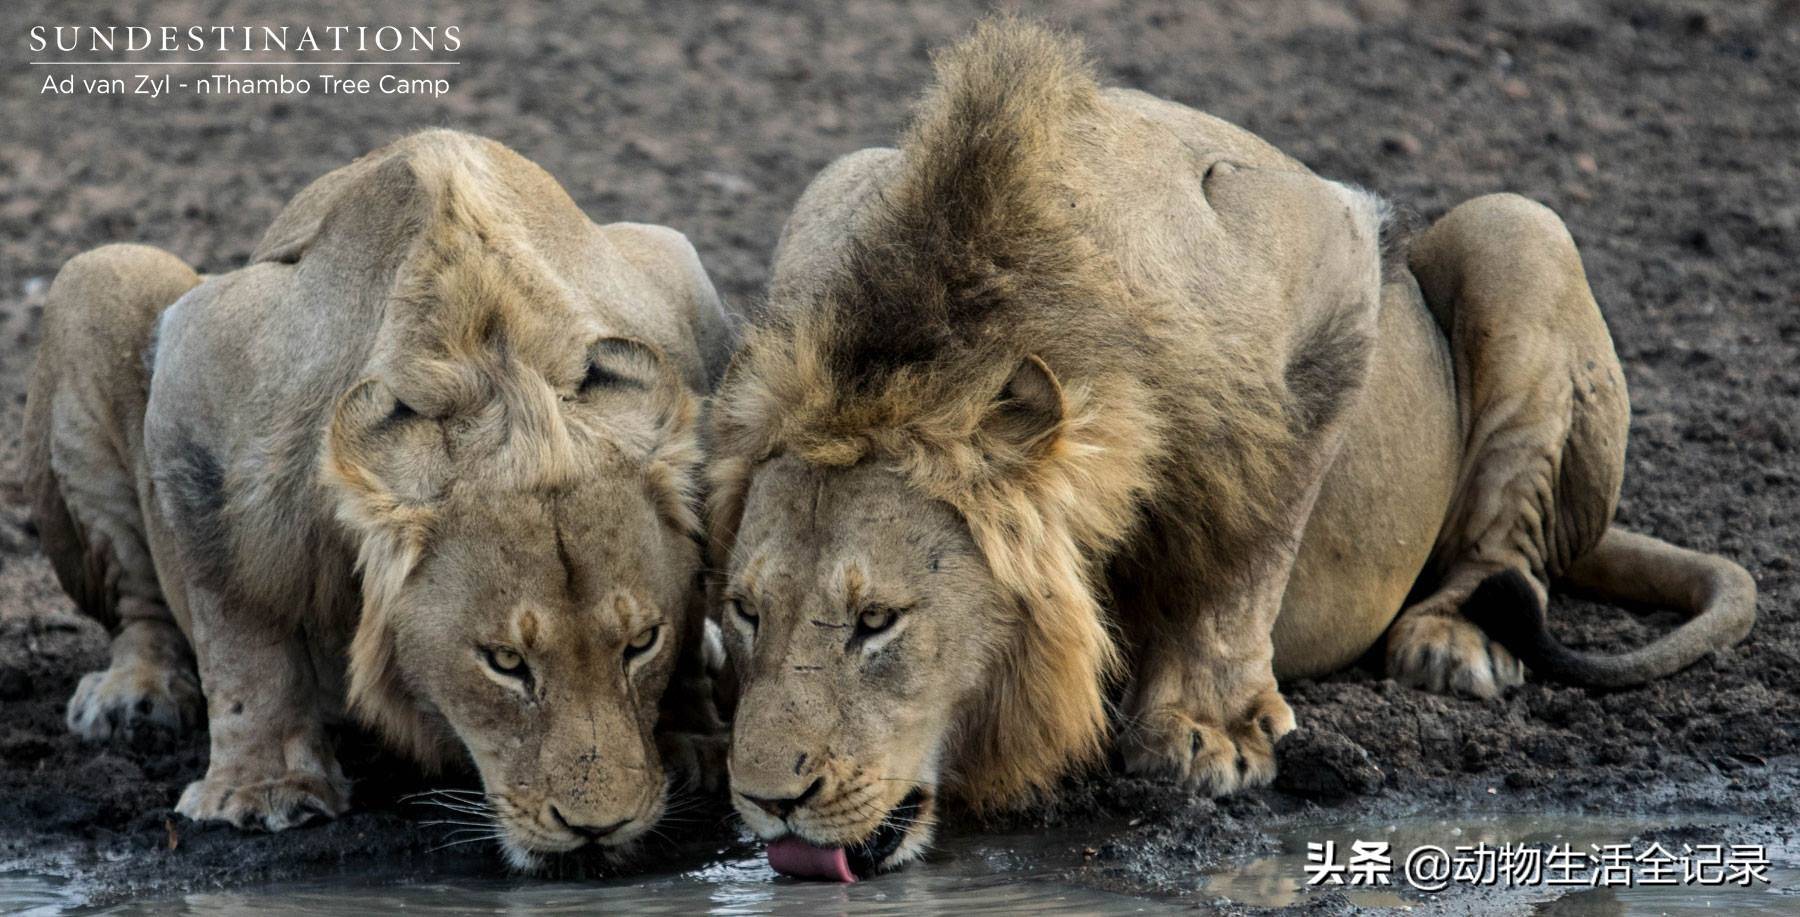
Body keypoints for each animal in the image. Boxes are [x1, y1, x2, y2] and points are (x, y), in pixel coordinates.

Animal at [17, 128, 734, 864]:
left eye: (641, 642)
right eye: (505, 663)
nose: (597, 829)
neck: (498, 365)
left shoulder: (681, 291)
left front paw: (692, 741)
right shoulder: (201, 375)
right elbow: (237, 623)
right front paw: (262, 788)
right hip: (99, 274)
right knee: (140, 602)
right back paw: (135, 696)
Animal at [705, 23, 1756, 879]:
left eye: (877, 620)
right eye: (746, 612)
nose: (764, 800)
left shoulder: (1329, 258)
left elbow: (1254, 540)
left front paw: (1209, 732)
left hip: (1518, 228)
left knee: (1507, 547)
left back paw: (1454, 642)